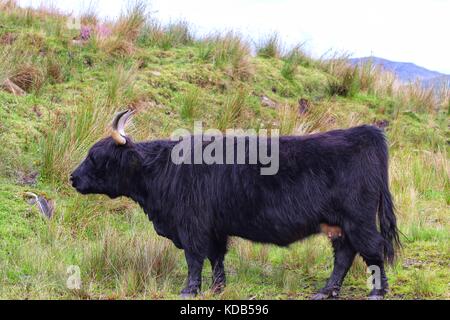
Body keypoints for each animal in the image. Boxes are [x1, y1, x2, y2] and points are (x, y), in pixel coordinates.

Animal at [71, 110, 400, 300]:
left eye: (95, 157)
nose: (72, 177)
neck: (163, 169)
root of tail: (365, 132)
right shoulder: (215, 227)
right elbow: (216, 257)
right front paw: (218, 287)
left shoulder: (192, 225)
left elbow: (194, 258)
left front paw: (189, 290)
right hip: (339, 224)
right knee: (344, 255)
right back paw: (326, 291)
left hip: (358, 219)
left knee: (373, 249)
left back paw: (376, 292)